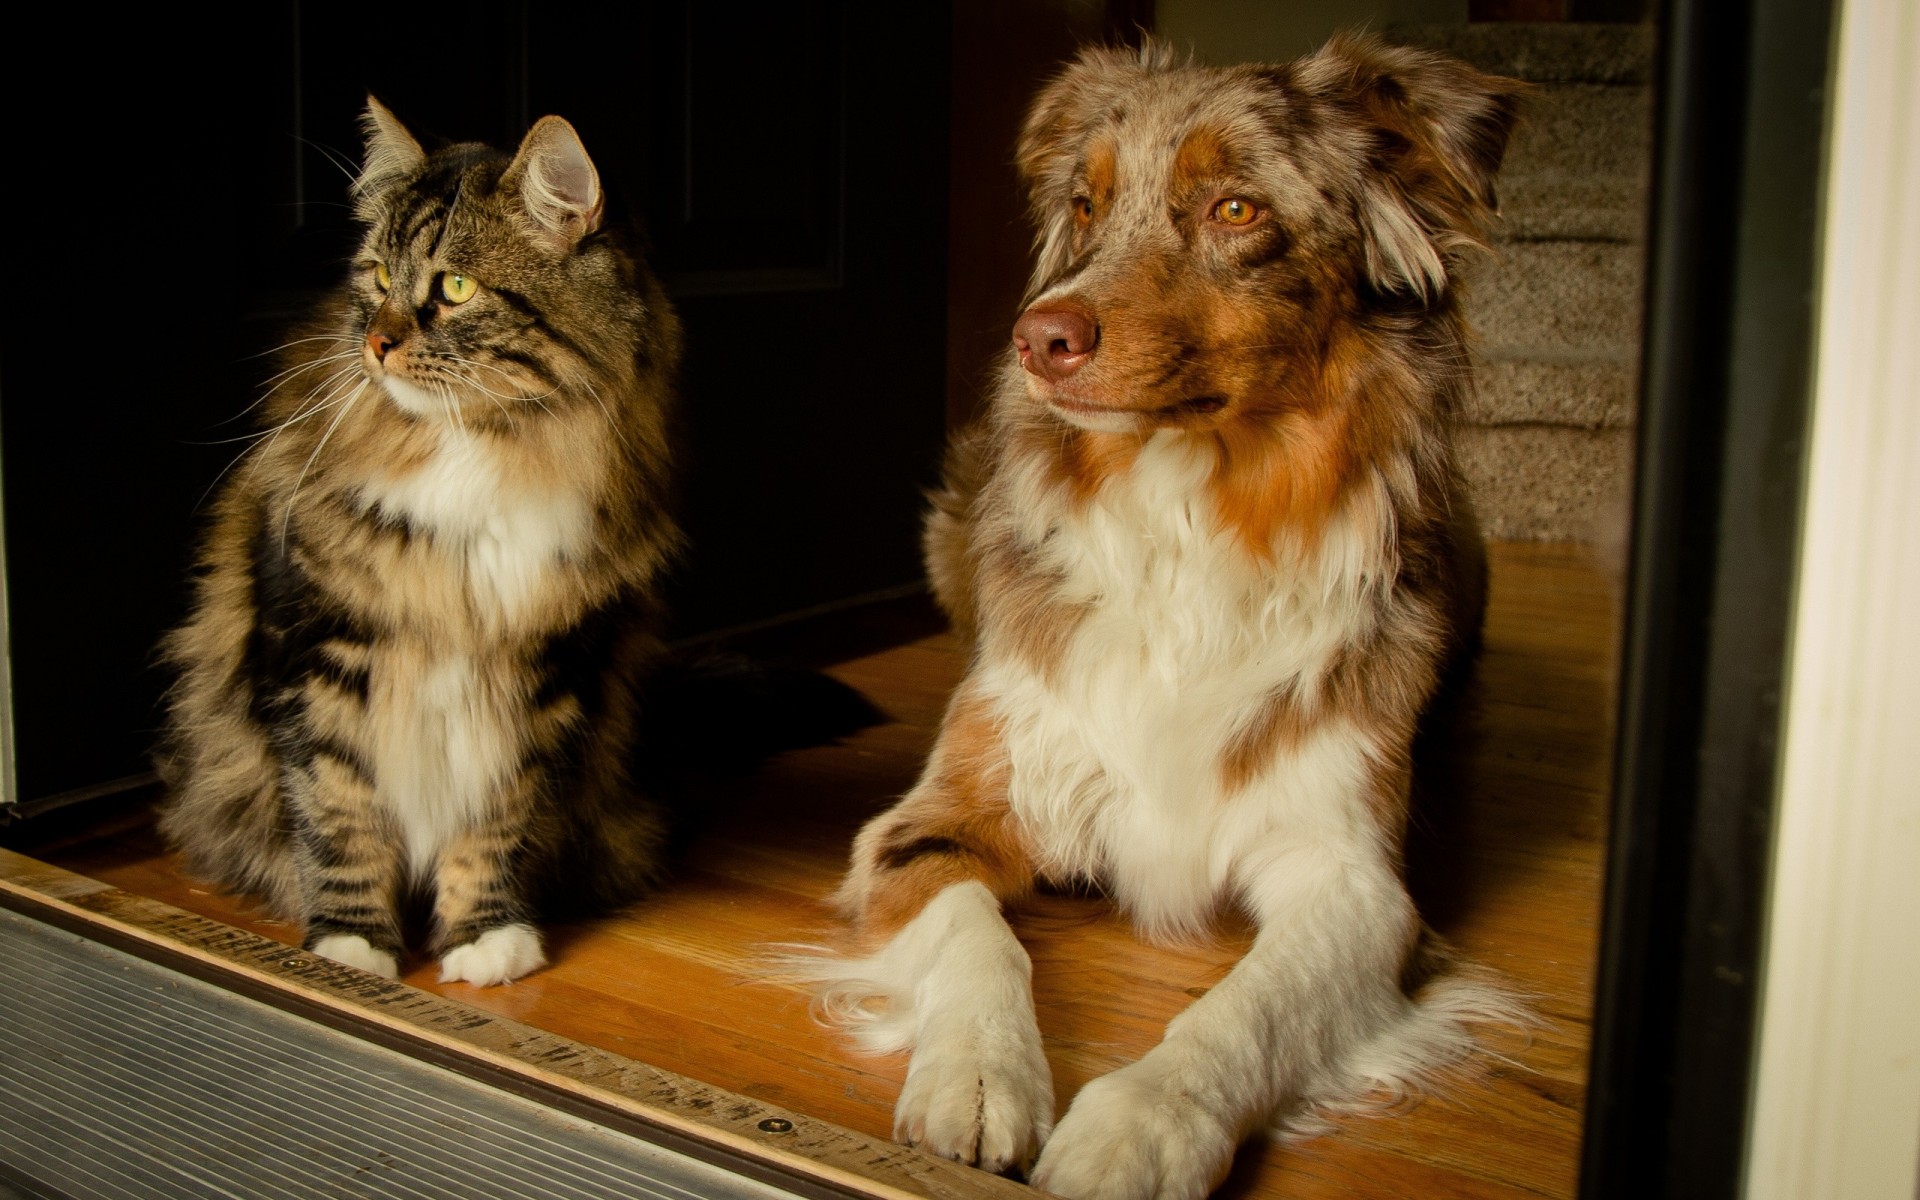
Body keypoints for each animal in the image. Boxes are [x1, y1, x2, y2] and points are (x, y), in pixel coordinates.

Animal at [155, 100, 691, 983]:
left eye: (456, 287)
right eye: (376, 276)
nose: (375, 343)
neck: (474, 448)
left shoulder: (539, 677)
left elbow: (495, 821)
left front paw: (485, 938)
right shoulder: (320, 657)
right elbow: (339, 815)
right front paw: (351, 948)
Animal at [810, 37, 1528, 1198]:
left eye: (1237, 209)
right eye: (1085, 205)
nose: (1037, 339)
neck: (1191, 514)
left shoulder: (1353, 878)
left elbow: (1251, 1007)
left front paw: (1140, 1125)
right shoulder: (932, 818)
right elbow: (977, 933)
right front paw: (976, 1074)